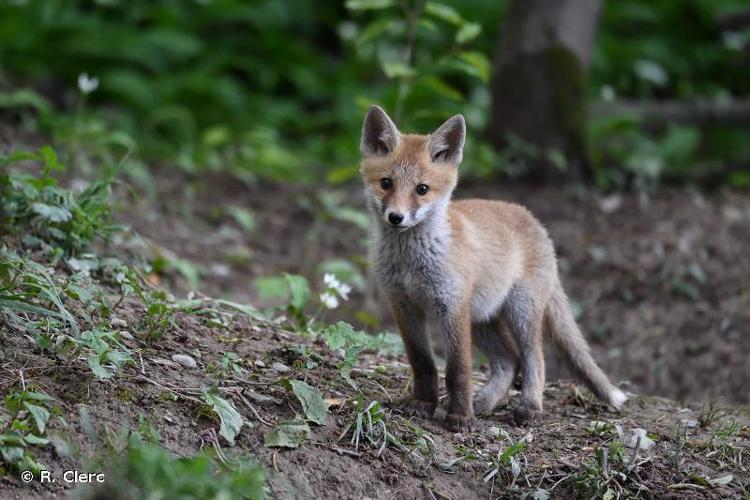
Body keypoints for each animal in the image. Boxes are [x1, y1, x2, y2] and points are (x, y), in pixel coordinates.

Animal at [362, 104, 624, 430]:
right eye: (386, 183)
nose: (396, 217)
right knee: (509, 362)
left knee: (534, 359)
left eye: (422, 189)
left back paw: (529, 406)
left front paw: (461, 417)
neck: (411, 262)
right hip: (482, 317)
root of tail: (534, 220)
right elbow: (422, 362)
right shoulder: (403, 305)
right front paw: (424, 402)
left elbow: (458, 369)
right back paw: (484, 402)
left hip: (520, 310)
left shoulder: (452, 307)